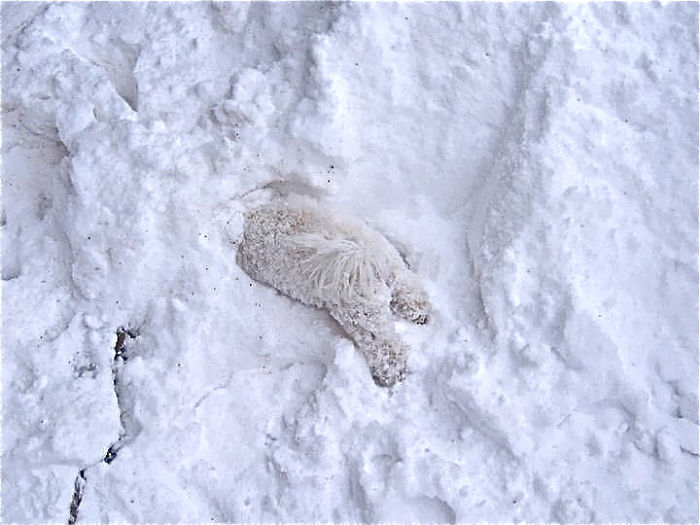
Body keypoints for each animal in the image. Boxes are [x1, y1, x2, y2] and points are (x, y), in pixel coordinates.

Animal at [238, 199, 430, 386]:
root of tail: (363, 252)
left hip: (359, 311)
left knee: (383, 343)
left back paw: (390, 372)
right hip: (390, 263)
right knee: (407, 284)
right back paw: (419, 312)